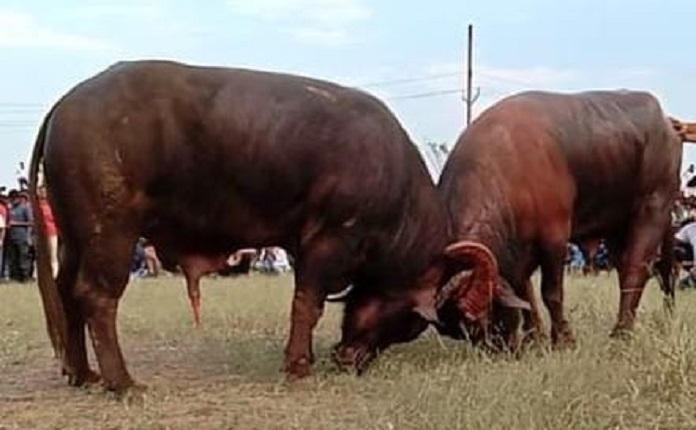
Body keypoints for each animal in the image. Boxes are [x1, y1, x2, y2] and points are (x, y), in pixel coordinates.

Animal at [29, 60, 529, 395]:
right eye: (411, 324)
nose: (350, 360)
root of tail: (66, 104)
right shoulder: (326, 244)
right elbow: (306, 304)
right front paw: (299, 364)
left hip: (74, 236)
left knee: (67, 291)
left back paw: (82, 373)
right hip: (110, 231)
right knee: (97, 297)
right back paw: (123, 382)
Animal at [434, 90, 683, 346]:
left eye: (479, 317)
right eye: (460, 331)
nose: (500, 347)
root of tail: (668, 125)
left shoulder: (554, 238)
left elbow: (550, 293)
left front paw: (563, 340)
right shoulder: (520, 250)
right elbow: (525, 293)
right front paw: (535, 337)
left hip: (652, 210)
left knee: (638, 270)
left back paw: (621, 333)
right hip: (616, 227)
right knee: (634, 270)